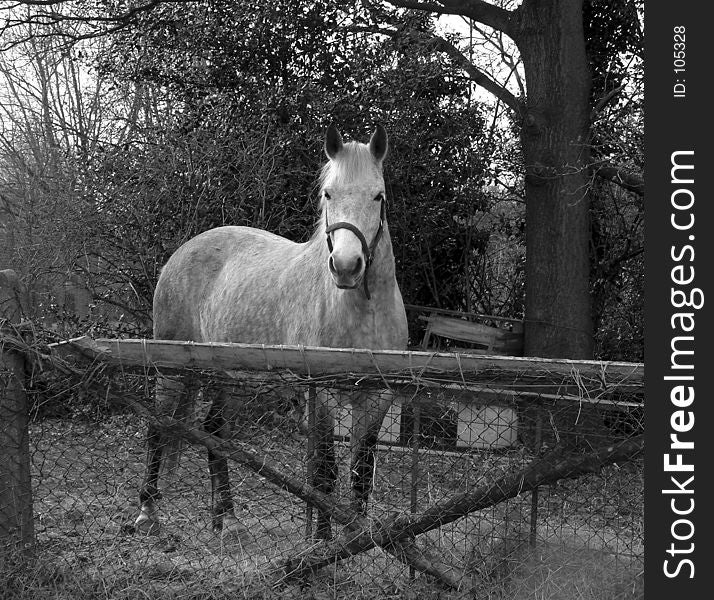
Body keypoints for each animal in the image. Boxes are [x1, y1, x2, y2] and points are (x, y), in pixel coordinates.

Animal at [135, 125, 406, 540]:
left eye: (379, 196)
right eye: (328, 194)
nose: (346, 267)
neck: (364, 313)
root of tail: (179, 255)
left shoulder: (378, 398)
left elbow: (362, 473)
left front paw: (357, 541)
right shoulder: (321, 393)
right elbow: (324, 471)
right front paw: (322, 544)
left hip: (229, 376)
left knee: (215, 431)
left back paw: (227, 518)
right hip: (172, 368)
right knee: (158, 426)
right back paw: (147, 512)